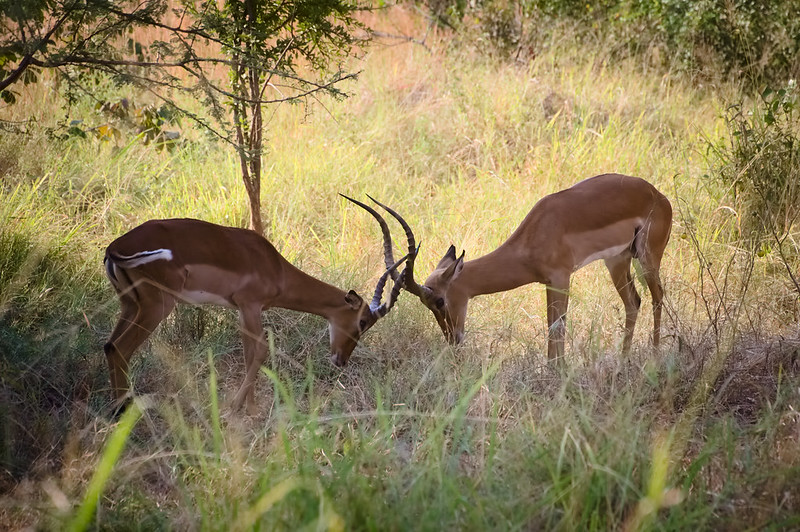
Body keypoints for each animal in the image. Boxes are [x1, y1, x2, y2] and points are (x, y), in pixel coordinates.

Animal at [105, 218, 406, 414]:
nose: (341, 360)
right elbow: (260, 351)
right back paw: (123, 411)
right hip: (157, 306)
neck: (277, 268)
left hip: (130, 304)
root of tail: (114, 249)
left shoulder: (243, 310)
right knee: (120, 348)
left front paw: (249, 410)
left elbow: (249, 352)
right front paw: (234, 409)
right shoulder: (250, 305)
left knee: (109, 346)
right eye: (362, 322)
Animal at [346, 175, 672, 362]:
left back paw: (655, 357)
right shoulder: (548, 282)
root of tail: (658, 194)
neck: (535, 235)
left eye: (439, 300)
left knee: (657, 297)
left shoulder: (561, 278)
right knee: (634, 302)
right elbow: (551, 326)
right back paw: (623, 360)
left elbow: (557, 328)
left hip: (647, 257)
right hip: (618, 260)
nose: (453, 339)